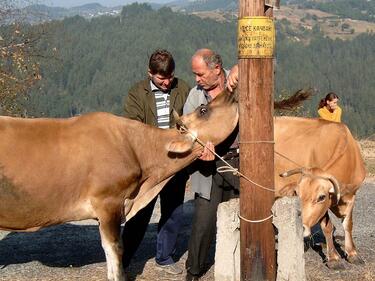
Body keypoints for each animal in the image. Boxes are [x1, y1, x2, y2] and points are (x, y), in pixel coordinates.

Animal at [274, 116, 366, 266]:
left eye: (321, 197)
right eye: (297, 194)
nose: (300, 227)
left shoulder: (351, 195)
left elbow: (348, 224)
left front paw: (352, 254)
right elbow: (327, 227)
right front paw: (333, 258)